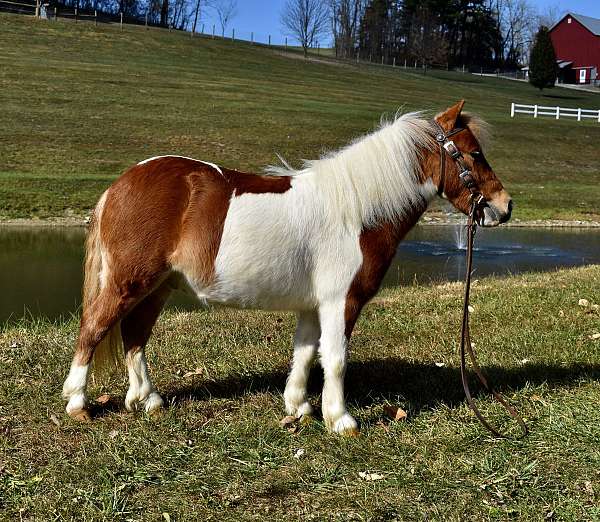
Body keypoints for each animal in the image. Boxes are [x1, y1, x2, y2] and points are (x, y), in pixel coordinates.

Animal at [62, 99, 510, 432]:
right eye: (474, 153)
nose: (505, 207)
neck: (356, 210)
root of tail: (122, 182)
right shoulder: (340, 301)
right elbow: (335, 357)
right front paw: (340, 419)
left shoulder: (313, 305)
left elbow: (306, 352)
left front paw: (299, 407)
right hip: (129, 282)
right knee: (93, 328)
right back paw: (78, 403)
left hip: (157, 286)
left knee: (135, 336)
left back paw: (148, 399)